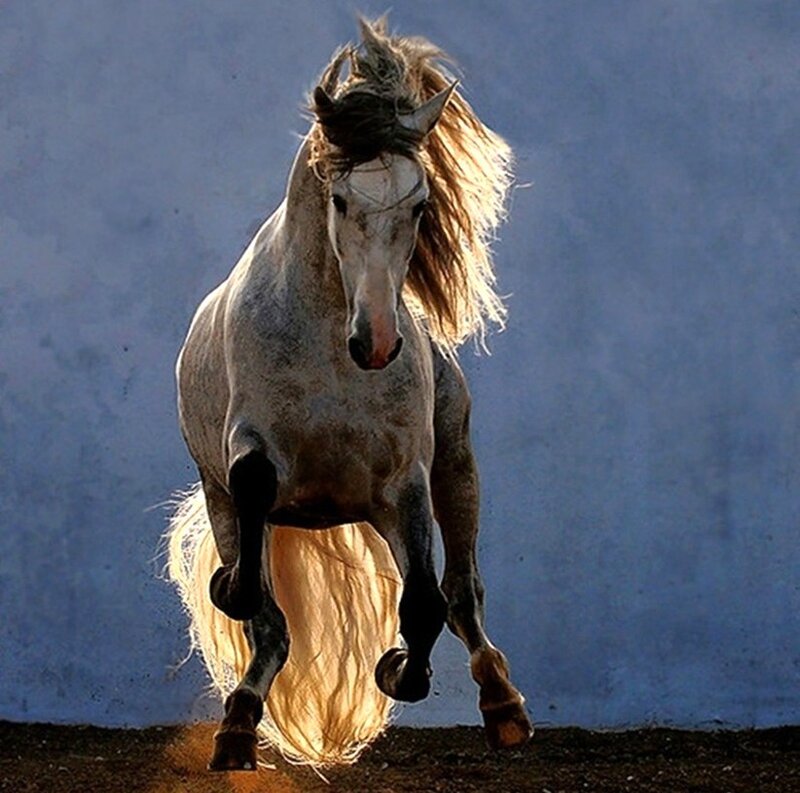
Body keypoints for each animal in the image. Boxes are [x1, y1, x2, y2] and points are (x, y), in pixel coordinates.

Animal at [167, 17, 533, 770]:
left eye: (420, 204)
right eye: (340, 199)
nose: (379, 341)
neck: (327, 339)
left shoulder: (406, 482)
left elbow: (423, 603)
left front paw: (397, 670)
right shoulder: (247, 448)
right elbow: (254, 496)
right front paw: (229, 587)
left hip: (451, 473)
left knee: (461, 592)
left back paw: (504, 704)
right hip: (224, 501)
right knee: (272, 630)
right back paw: (238, 723)